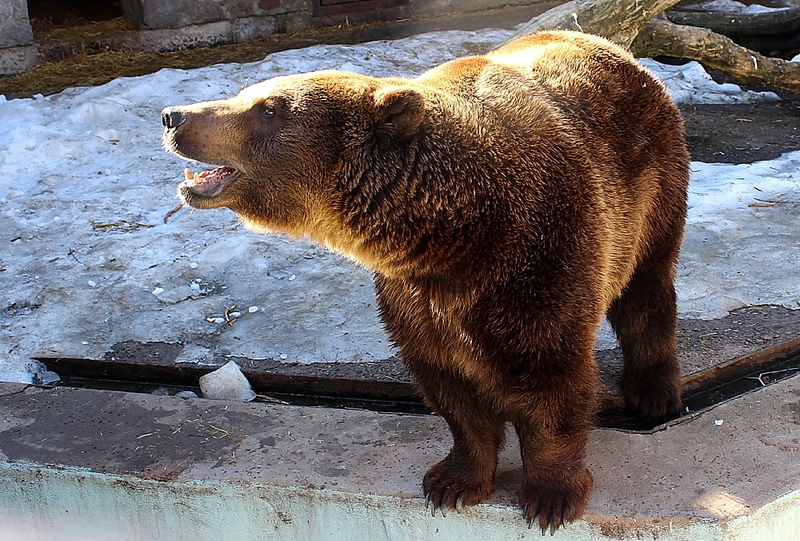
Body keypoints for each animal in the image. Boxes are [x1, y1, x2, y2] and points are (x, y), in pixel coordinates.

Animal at [161, 30, 688, 532]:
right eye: (248, 92)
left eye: (268, 109)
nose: (172, 115)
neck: (457, 232)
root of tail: (612, 49)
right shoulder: (415, 297)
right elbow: (452, 392)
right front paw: (452, 482)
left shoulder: (543, 257)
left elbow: (549, 381)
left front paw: (550, 497)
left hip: (651, 191)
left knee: (646, 293)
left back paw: (654, 392)